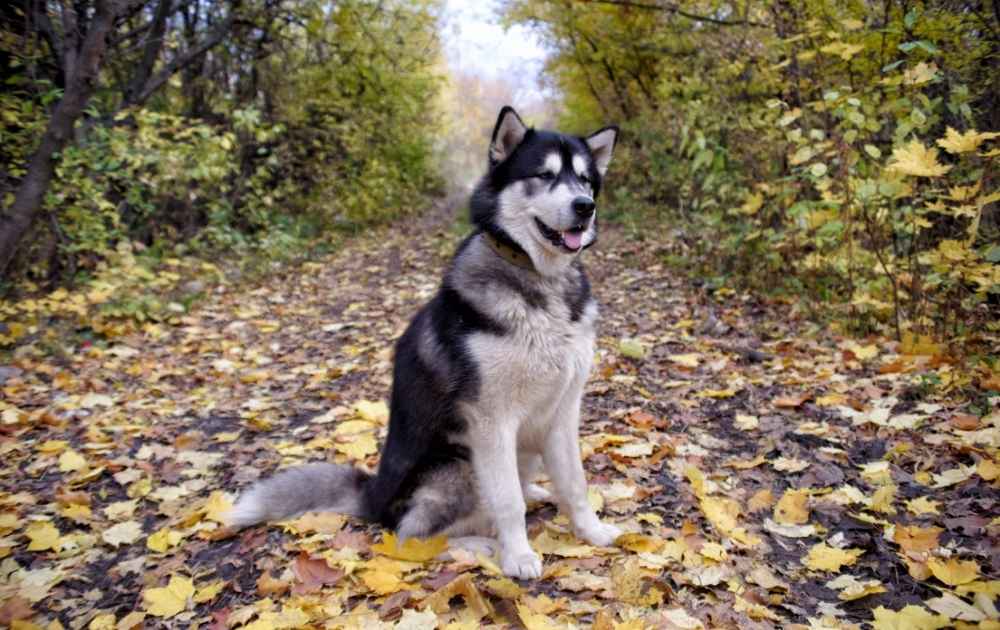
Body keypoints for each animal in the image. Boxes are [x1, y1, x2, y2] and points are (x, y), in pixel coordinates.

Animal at [229, 106, 620, 580]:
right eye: (543, 175)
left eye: (584, 180)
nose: (585, 207)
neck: (539, 280)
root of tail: (372, 496)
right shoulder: (491, 422)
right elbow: (507, 501)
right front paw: (518, 555)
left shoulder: (563, 412)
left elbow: (575, 483)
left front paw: (592, 532)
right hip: (457, 465)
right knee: (410, 536)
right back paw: (479, 546)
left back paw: (535, 497)